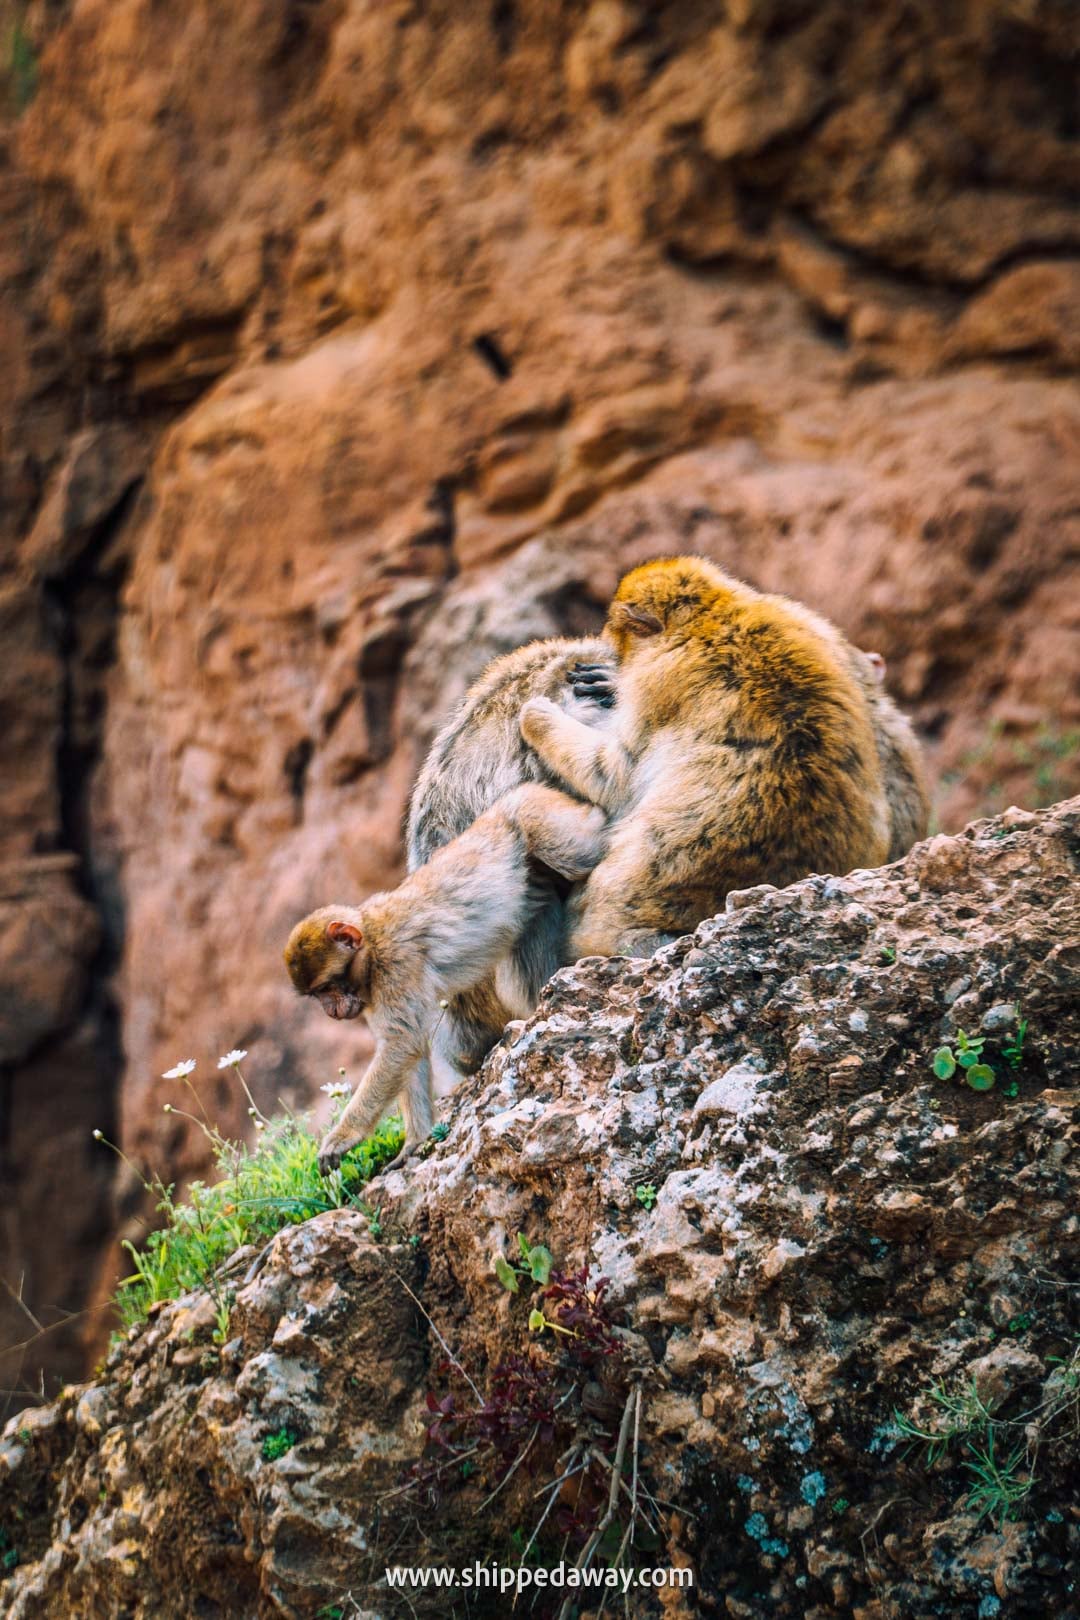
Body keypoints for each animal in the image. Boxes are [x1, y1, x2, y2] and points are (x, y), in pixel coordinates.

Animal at [284, 782, 607, 1173]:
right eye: (318, 996)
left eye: (327, 988)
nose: (330, 1010)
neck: (372, 945)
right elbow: (409, 1050)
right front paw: (415, 1142)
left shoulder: (397, 967)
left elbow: (401, 1044)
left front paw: (344, 1137)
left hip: (536, 816)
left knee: (582, 851)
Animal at [518, 555, 917, 960]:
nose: (612, 648)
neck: (715, 612)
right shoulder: (802, 618)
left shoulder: (656, 682)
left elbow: (616, 775)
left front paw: (536, 715)